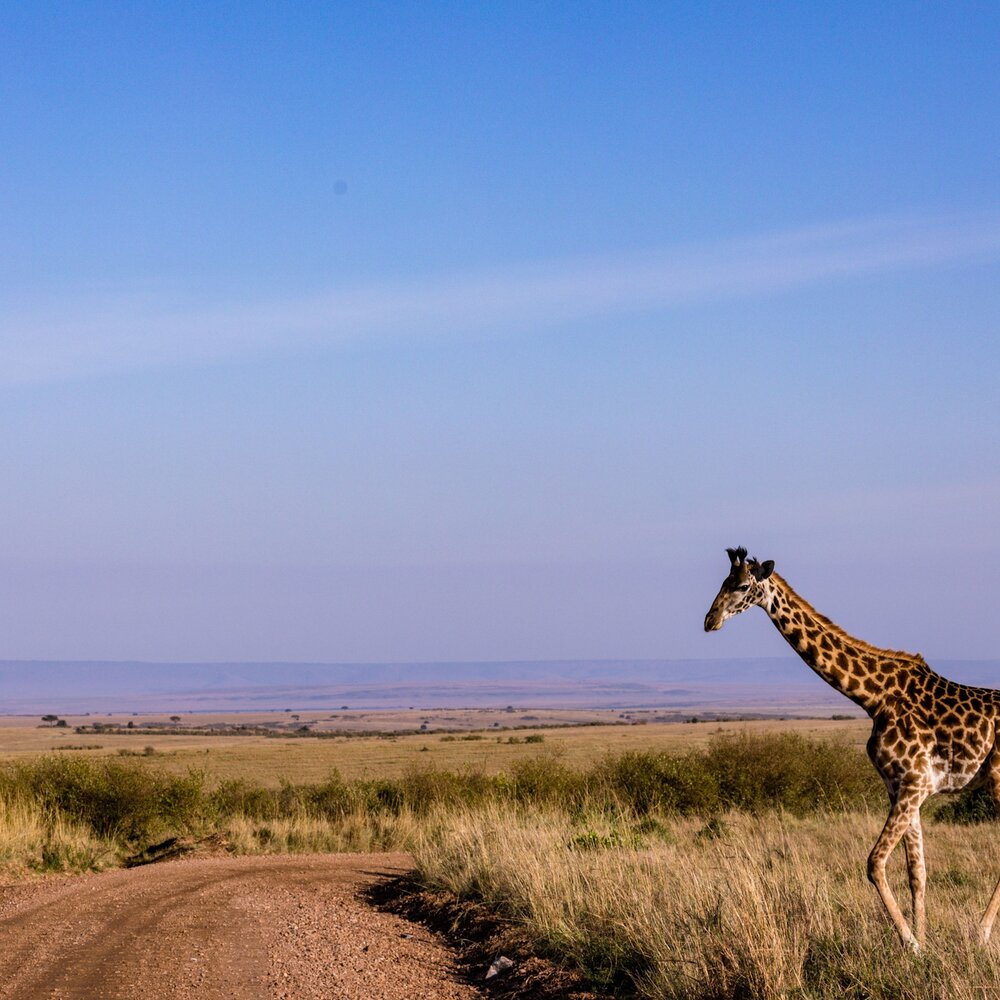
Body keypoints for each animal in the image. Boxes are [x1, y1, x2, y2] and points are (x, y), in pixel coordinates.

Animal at [704, 544, 1000, 948]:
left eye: (743, 585)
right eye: (723, 581)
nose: (710, 620)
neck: (874, 698)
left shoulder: (915, 783)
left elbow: (875, 862)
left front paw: (910, 944)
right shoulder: (903, 787)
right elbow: (917, 872)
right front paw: (924, 943)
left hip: (998, 780)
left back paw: (981, 934)